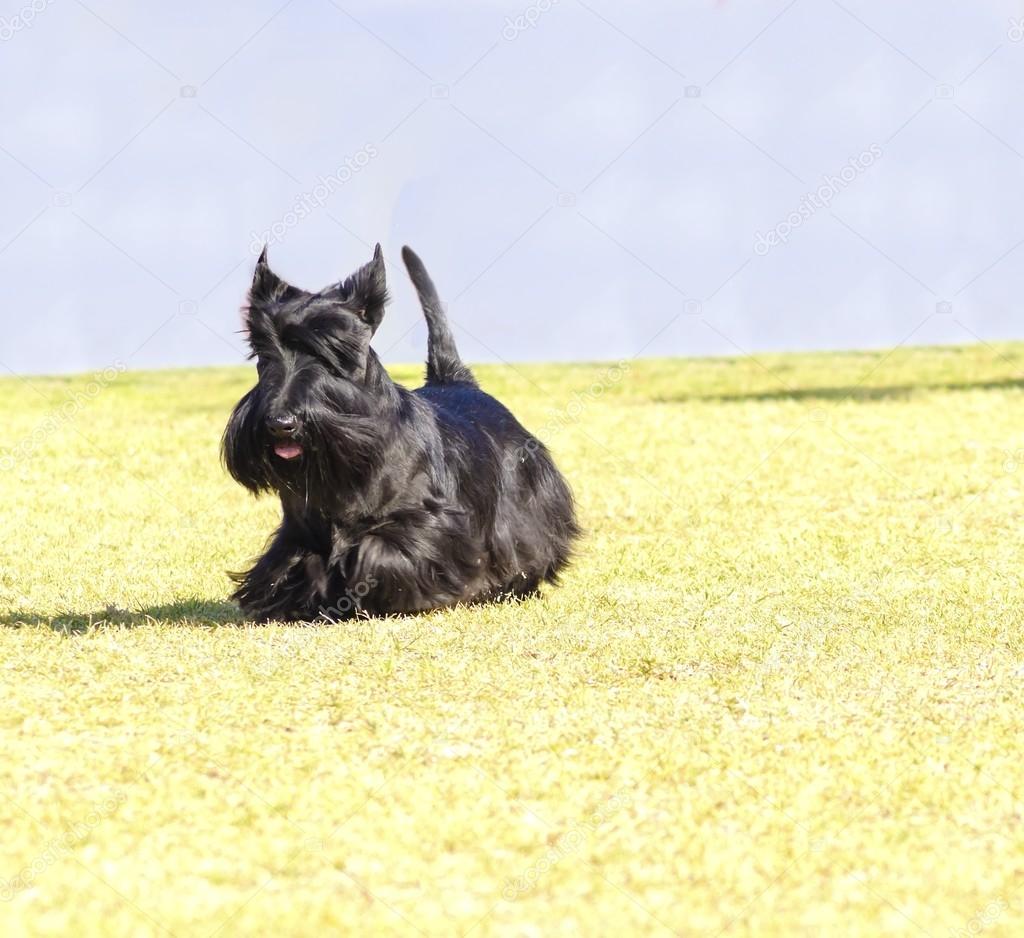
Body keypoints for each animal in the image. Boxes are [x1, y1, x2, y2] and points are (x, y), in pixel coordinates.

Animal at [221, 245, 581, 618]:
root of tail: (456, 379)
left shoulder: (427, 527)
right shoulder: (299, 534)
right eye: (263, 353)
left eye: (332, 352)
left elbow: (379, 551)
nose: (280, 423)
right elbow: (301, 564)